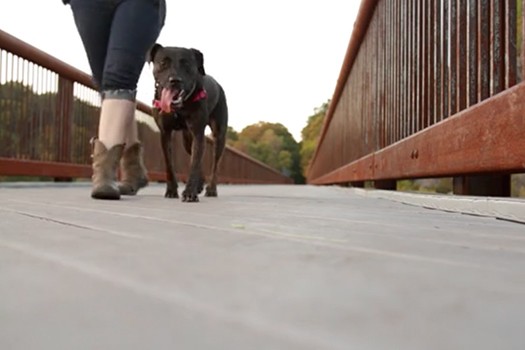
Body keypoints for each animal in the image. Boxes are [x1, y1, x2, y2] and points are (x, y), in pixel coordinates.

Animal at [148, 44, 228, 202]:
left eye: (186, 64)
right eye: (163, 63)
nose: (175, 80)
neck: (179, 108)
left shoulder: (198, 132)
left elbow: (194, 163)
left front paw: (189, 192)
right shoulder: (165, 133)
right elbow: (169, 164)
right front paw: (171, 190)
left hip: (219, 135)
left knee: (215, 163)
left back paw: (211, 189)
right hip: (187, 139)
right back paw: (199, 185)